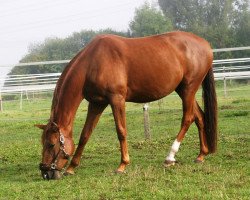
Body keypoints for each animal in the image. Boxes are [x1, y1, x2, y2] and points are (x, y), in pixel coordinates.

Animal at [35, 31, 217, 180]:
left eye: (51, 144)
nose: (45, 172)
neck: (93, 62)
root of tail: (205, 44)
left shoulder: (116, 99)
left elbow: (121, 131)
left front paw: (122, 165)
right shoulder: (96, 103)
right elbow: (85, 134)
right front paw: (71, 167)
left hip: (188, 89)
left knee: (187, 119)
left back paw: (170, 157)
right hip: (184, 90)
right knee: (200, 117)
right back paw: (201, 155)